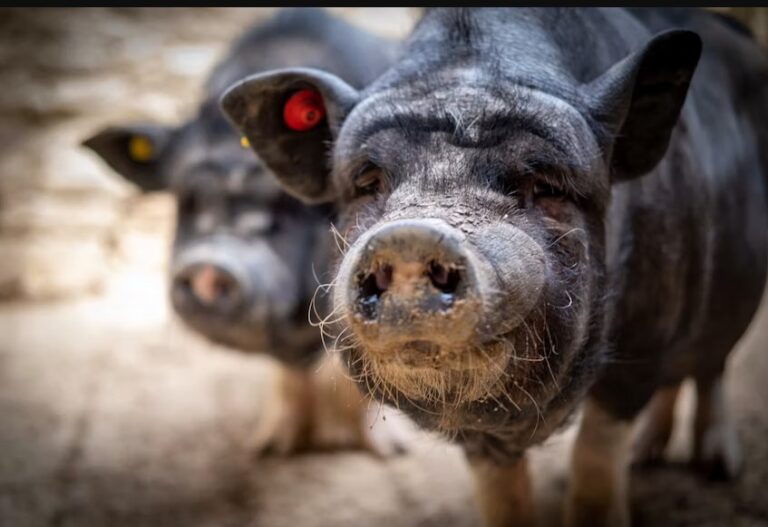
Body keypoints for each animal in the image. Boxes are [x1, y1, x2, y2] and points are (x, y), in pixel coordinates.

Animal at [222, 7, 768, 526]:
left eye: (545, 184)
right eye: (368, 181)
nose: (409, 237)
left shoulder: (646, 341)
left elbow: (595, 460)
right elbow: (502, 497)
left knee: (712, 365)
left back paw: (715, 467)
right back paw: (648, 457)